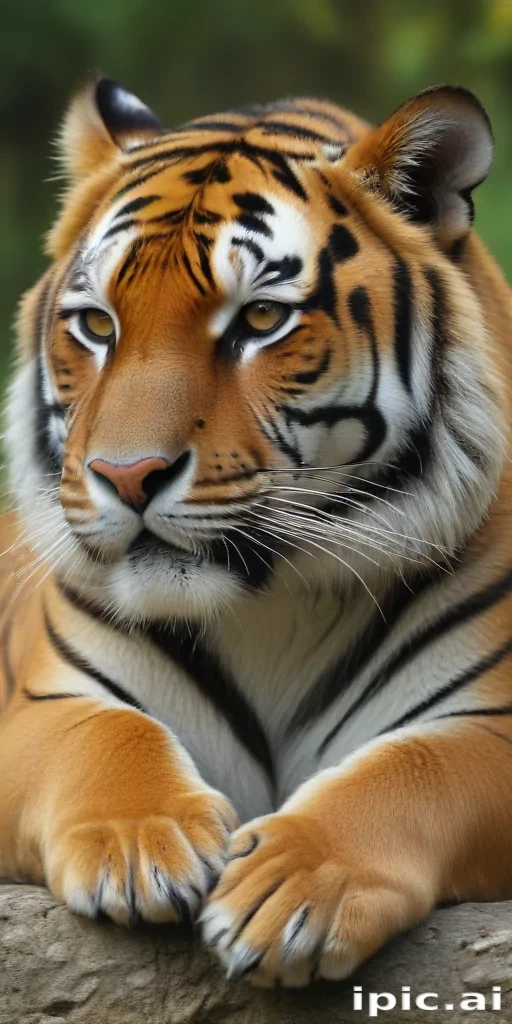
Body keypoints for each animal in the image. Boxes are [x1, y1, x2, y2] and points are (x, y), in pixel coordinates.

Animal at [0, 72, 511, 989]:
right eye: (97, 326)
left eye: (262, 319)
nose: (128, 475)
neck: (272, 604)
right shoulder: (41, 703)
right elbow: (103, 732)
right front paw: (143, 846)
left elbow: (418, 767)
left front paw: (294, 887)